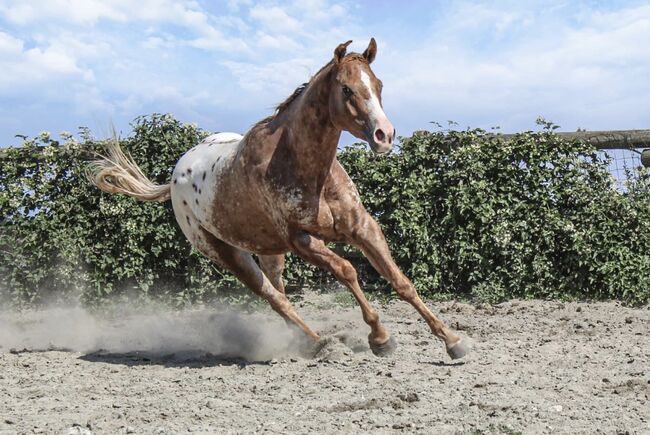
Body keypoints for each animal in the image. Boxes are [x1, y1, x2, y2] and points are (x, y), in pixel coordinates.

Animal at [90, 39, 466, 362]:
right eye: (346, 88)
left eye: (378, 84)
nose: (384, 135)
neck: (307, 169)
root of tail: (173, 178)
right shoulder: (301, 240)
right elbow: (347, 271)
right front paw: (380, 338)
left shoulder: (361, 226)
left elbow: (399, 280)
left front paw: (452, 341)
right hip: (227, 254)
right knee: (274, 299)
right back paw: (318, 343)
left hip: (270, 252)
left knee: (280, 293)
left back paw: (304, 341)